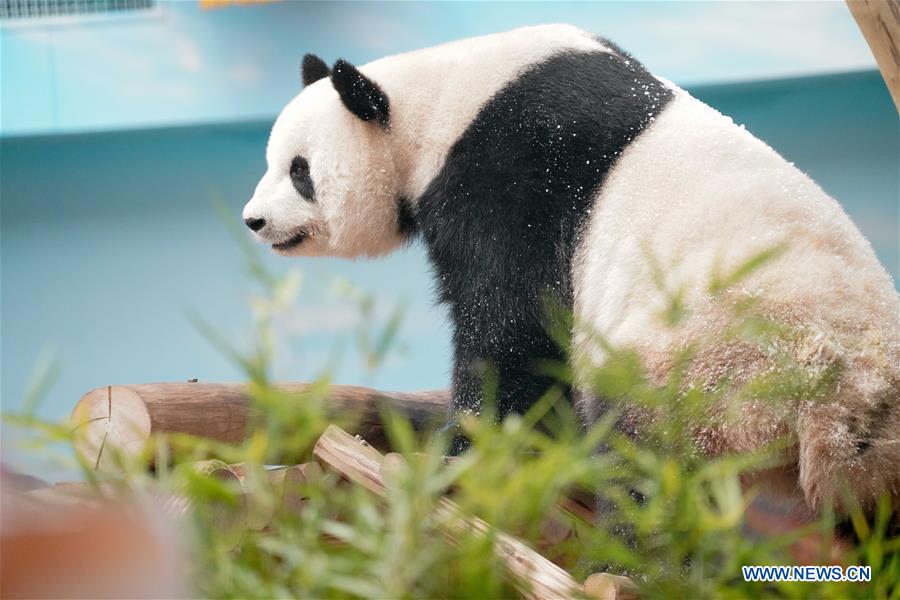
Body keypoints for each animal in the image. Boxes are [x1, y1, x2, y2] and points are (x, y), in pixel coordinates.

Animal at [243, 25, 900, 516]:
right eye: (272, 162)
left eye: (300, 172)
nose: (253, 221)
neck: (437, 100)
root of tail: (840, 406)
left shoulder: (512, 177)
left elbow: (510, 331)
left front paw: (462, 450)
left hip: (713, 363)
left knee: (647, 462)